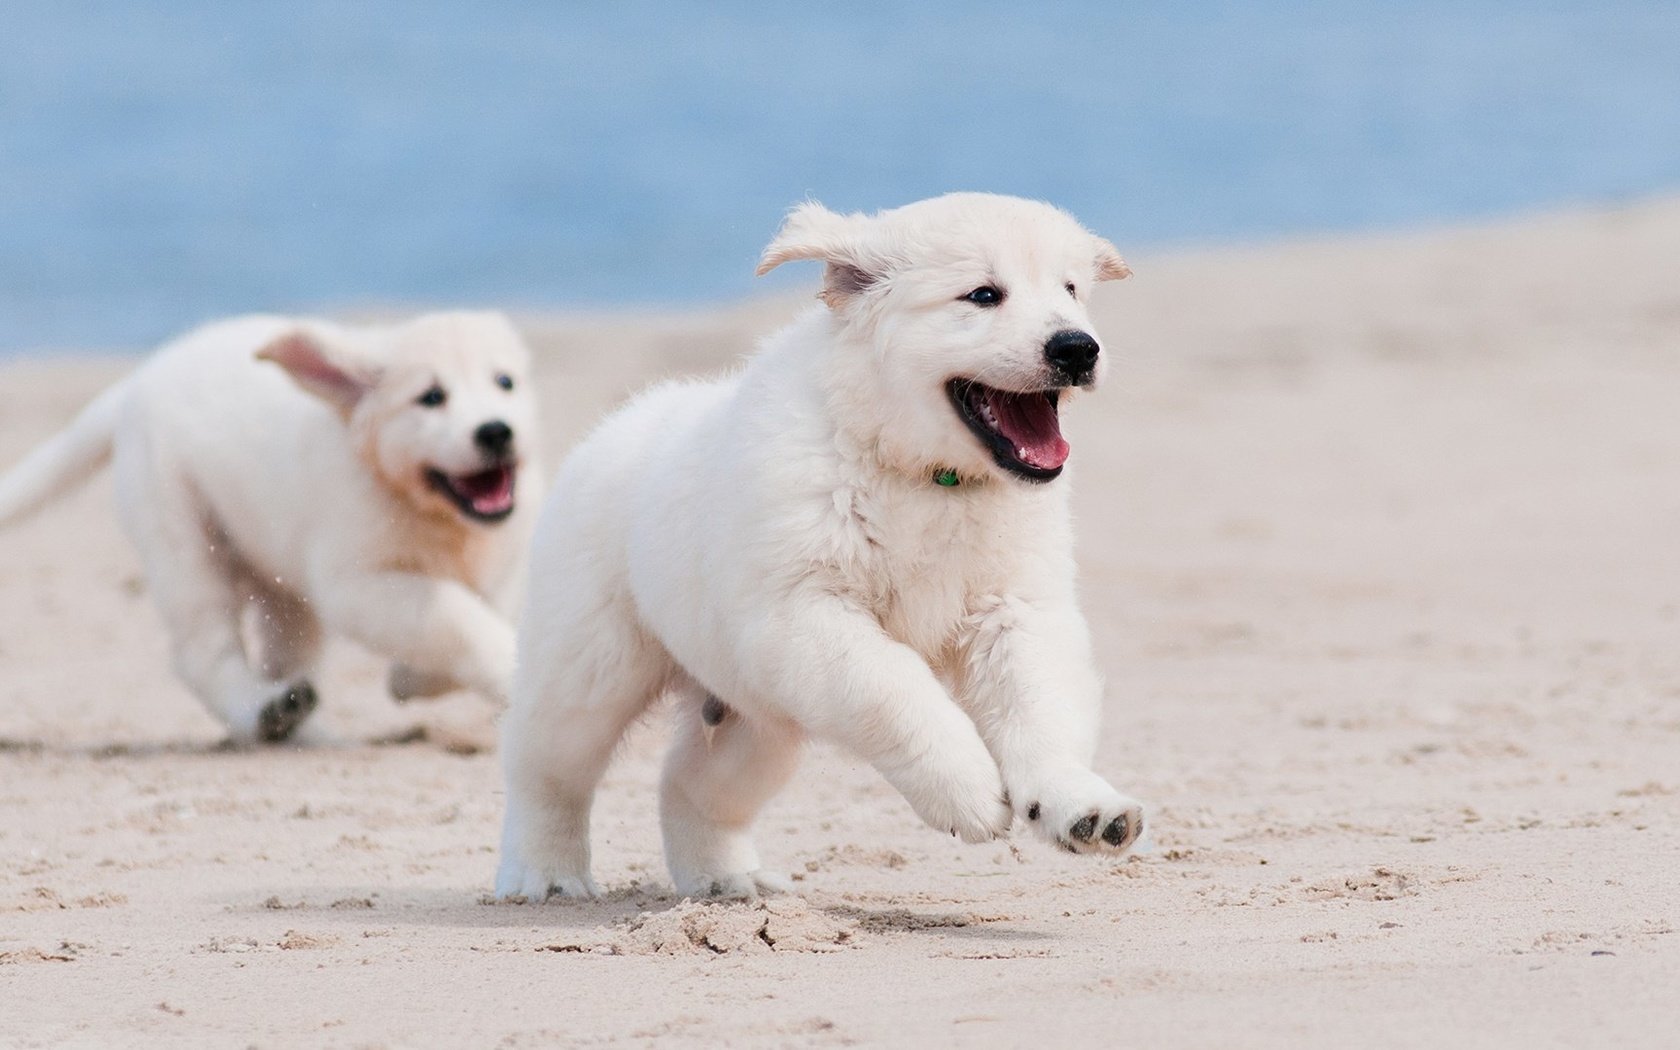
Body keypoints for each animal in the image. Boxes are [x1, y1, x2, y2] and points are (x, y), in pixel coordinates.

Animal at [0, 309, 537, 735]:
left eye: (505, 383)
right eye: (430, 397)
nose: (496, 431)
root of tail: (141, 378)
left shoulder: (511, 560)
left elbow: (487, 609)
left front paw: (410, 679)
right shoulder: (356, 582)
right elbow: (458, 617)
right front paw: (494, 670)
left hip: (278, 576)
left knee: (285, 651)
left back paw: (299, 723)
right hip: (181, 533)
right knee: (203, 649)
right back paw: (261, 711)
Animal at [490, 192, 1135, 893]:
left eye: (1071, 291)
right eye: (983, 295)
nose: (1079, 348)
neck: (923, 477)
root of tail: (615, 426)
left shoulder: (1015, 609)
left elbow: (1039, 705)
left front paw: (1082, 806)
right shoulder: (802, 613)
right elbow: (894, 688)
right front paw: (965, 790)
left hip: (756, 717)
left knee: (691, 783)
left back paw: (726, 882)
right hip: (590, 666)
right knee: (546, 768)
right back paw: (545, 875)